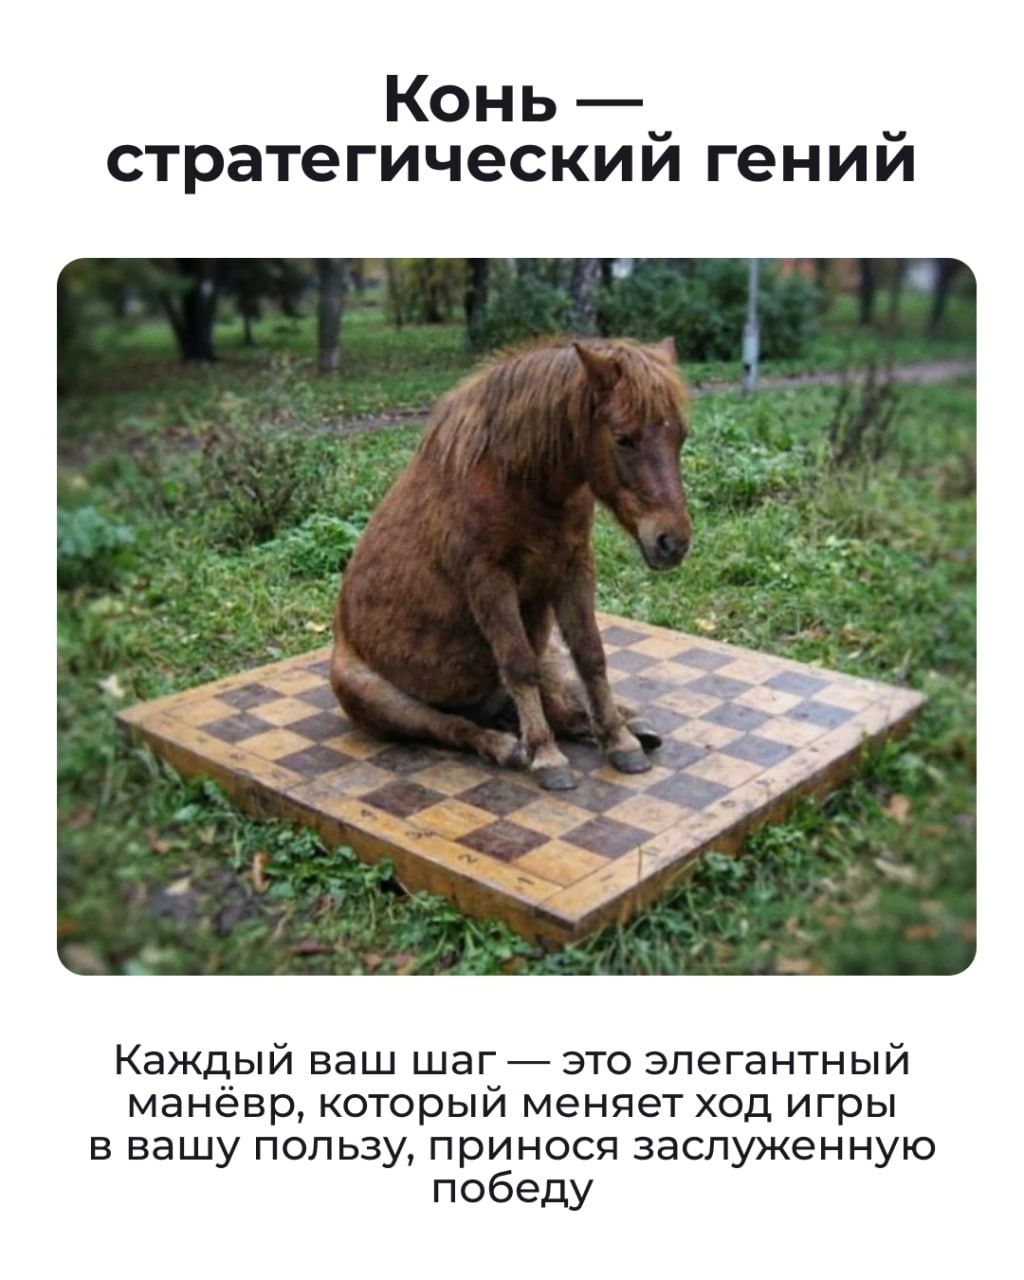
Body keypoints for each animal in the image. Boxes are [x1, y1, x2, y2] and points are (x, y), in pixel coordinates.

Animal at [330, 336, 692, 791]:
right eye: (624, 438)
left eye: (680, 436)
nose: (672, 542)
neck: (515, 477)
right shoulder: (489, 579)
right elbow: (519, 665)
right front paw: (548, 757)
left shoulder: (574, 569)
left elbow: (591, 655)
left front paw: (618, 741)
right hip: (373, 695)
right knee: (451, 726)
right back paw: (509, 746)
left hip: (547, 649)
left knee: (558, 705)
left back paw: (625, 726)